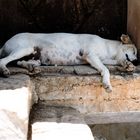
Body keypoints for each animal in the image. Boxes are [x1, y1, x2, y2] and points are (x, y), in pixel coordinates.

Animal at [0, 32, 138, 92]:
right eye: (134, 51)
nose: (137, 62)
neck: (108, 46)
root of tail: (5, 43)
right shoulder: (91, 55)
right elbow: (106, 69)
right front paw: (107, 84)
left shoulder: (103, 59)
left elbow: (116, 62)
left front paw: (127, 65)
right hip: (25, 48)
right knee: (3, 60)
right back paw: (5, 70)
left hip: (34, 57)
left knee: (19, 62)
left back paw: (31, 67)